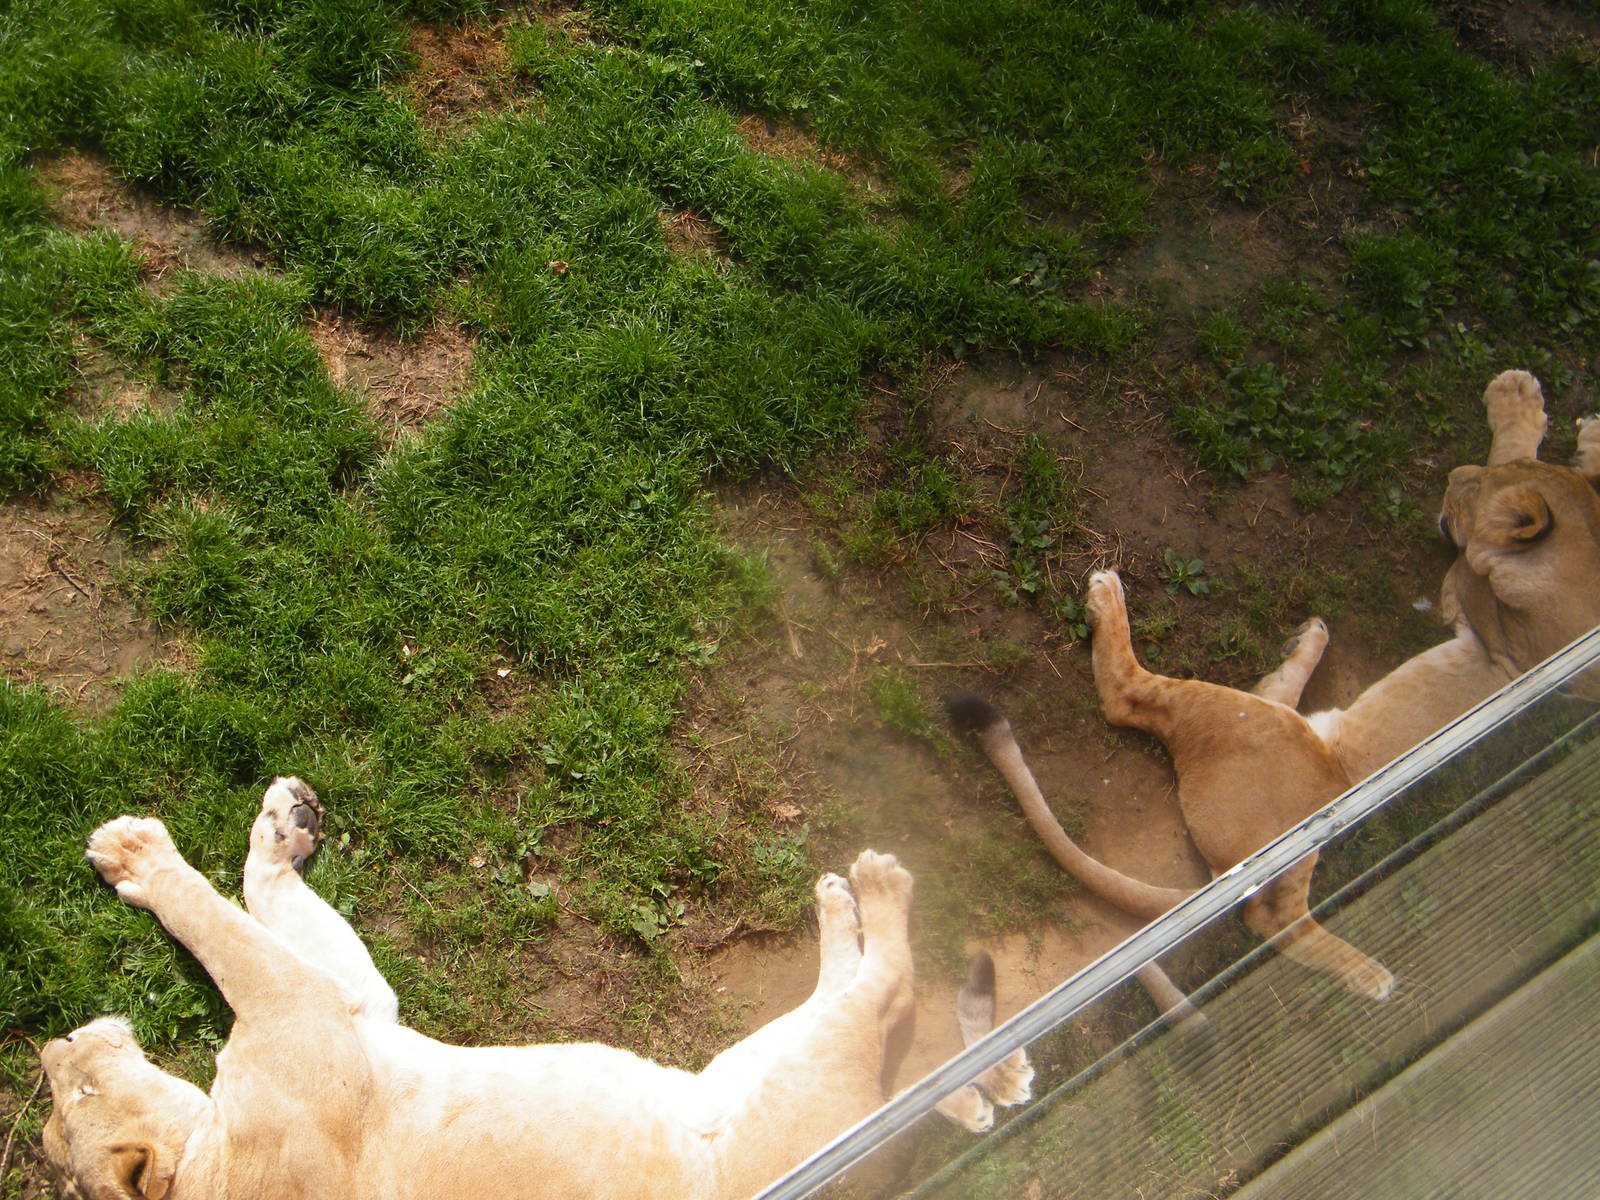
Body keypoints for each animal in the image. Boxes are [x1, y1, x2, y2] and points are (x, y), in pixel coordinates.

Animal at [42, 779, 1031, 1200]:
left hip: (752, 1063)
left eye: (64, 1101)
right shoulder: (301, 1005)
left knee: (872, 1013)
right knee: (887, 994)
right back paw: (872, 886)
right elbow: (213, 921)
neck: (208, 1151)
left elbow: (256, 897)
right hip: (791, 1082)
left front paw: (281, 822)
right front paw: (139, 854)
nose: (55, 1044)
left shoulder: (349, 1004)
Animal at [949, 369, 1600, 1002]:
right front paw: (1564, 421)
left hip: (1243, 722)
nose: (1455, 476)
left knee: (1130, 702)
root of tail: (1241, 875)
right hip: (1275, 739)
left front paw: (1524, 408)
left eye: (1470, 487)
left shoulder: (1467, 587)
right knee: (1277, 909)